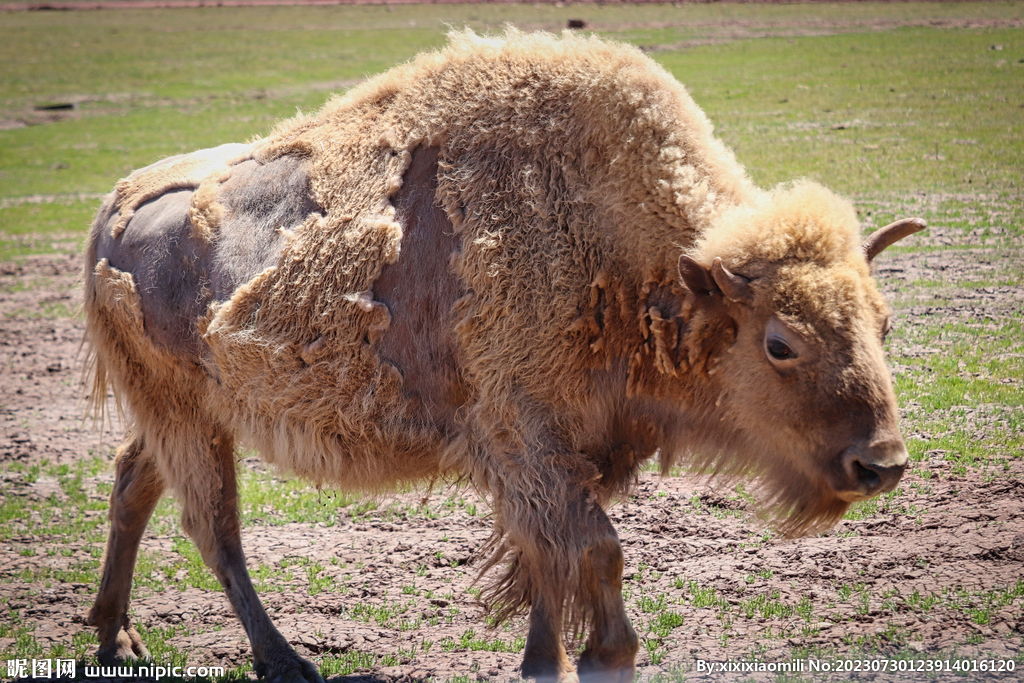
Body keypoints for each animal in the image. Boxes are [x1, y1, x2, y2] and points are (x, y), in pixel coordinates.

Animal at [83, 29, 925, 683]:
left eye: (882, 323)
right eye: (780, 342)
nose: (880, 462)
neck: (617, 244)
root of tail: (115, 204)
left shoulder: (568, 453)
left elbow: (548, 560)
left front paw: (542, 660)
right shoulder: (526, 439)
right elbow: (593, 552)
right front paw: (605, 656)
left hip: (186, 410)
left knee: (135, 483)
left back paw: (116, 636)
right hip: (182, 409)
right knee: (213, 525)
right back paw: (283, 659)